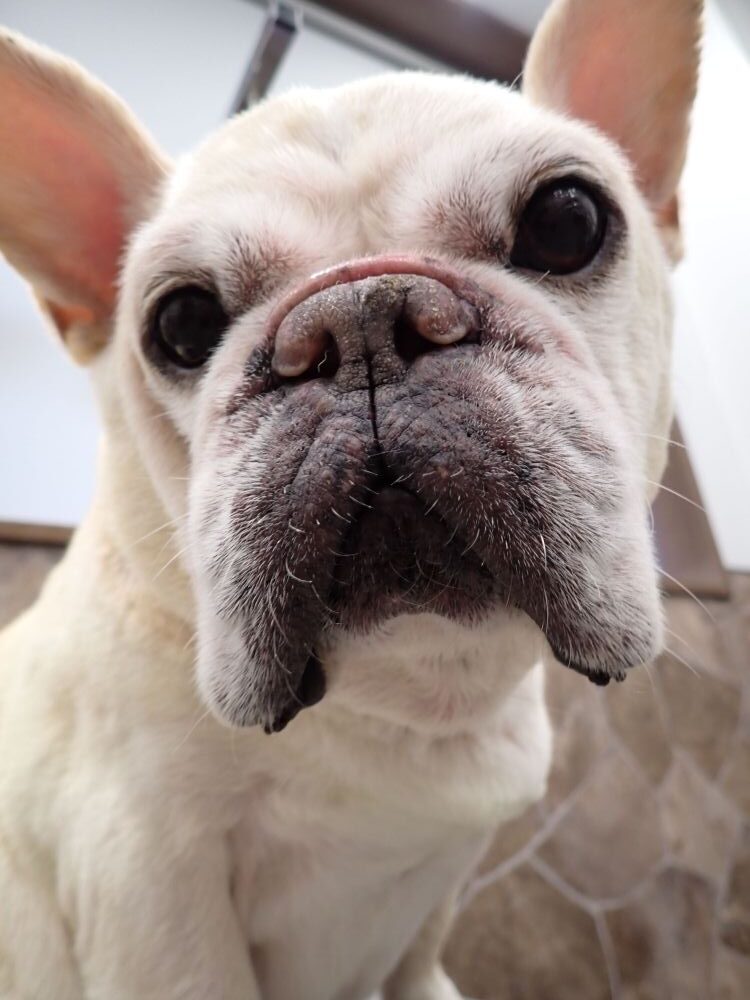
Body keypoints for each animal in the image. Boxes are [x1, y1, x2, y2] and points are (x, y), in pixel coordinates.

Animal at [0, 1, 701, 997]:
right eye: (181, 322)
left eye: (567, 221)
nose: (359, 315)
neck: (407, 690)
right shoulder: (153, 889)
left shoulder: (450, 860)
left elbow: (416, 951)